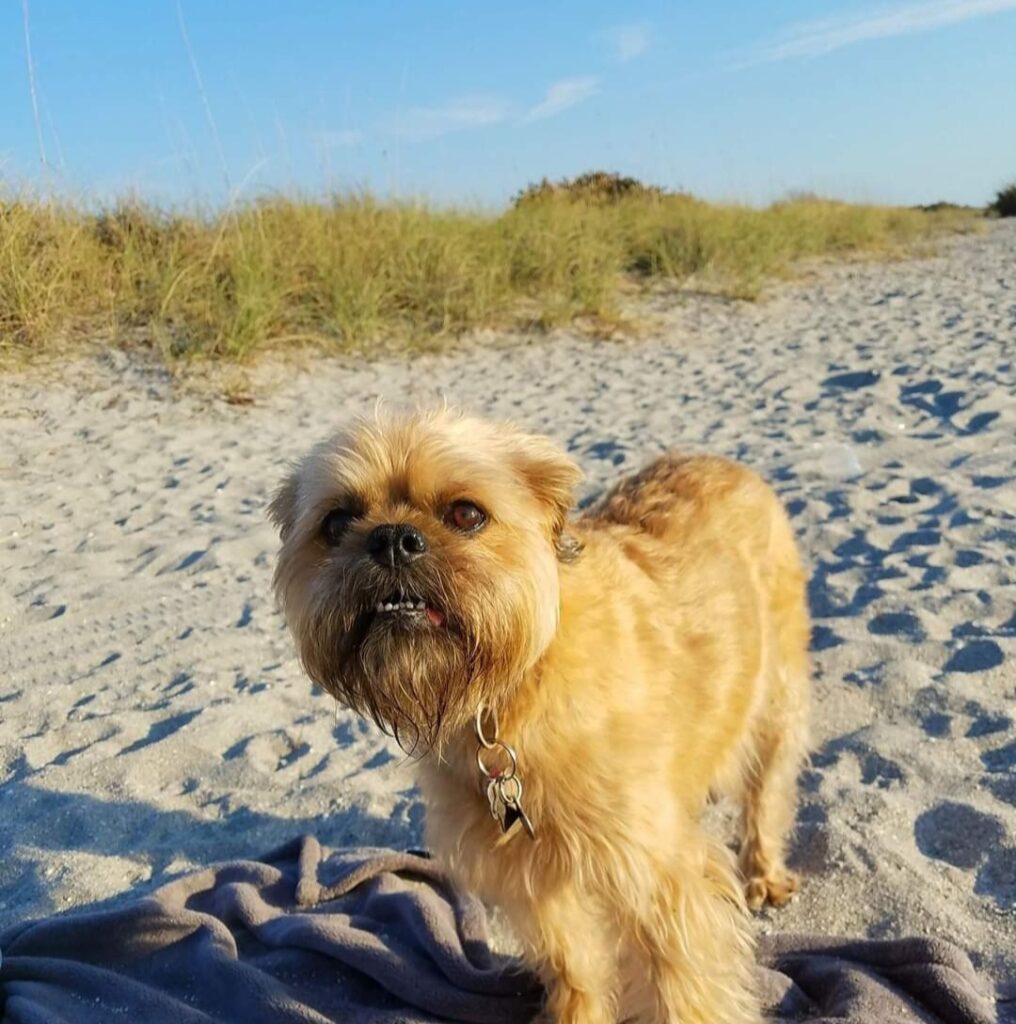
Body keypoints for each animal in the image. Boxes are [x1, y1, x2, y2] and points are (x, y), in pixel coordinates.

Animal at [268, 407, 811, 1024]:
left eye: (466, 514)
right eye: (337, 523)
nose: (391, 540)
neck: (506, 693)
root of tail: (718, 461)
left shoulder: (659, 879)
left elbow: (684, 992)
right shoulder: (529, 873)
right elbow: (572, 960)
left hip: (776, 698)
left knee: (766, 787)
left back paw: (764, 870)